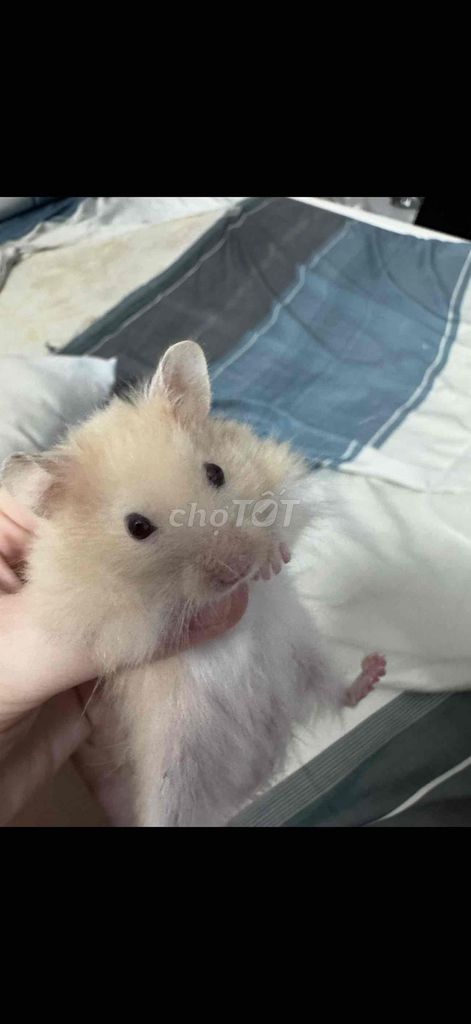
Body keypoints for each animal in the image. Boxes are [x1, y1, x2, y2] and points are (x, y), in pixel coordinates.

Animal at [2, 341, 385, 826]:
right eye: (137, 527)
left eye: (216, 472)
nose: (239, 568)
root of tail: (257, 771)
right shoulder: (105, 617)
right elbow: (158, 611)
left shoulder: (282, 477)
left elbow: (282, 519)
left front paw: (270, 563)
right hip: (170, 780)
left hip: (307, 662)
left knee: (337, 695)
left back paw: (373, 670)